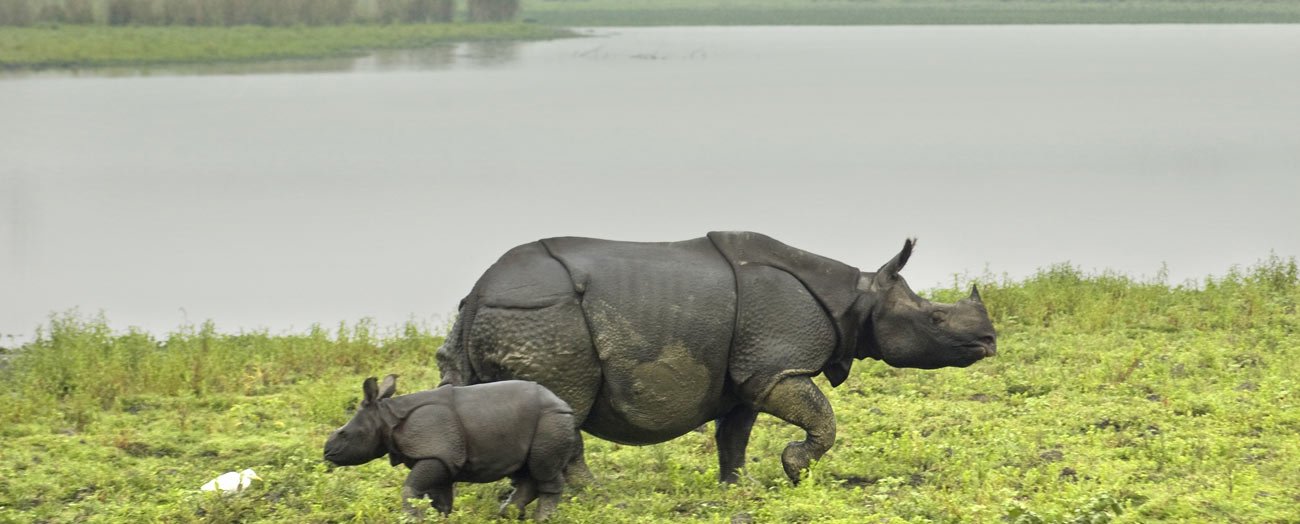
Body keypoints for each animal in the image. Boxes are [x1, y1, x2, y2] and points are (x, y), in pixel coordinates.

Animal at [323, 375, 577, 521]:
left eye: (344, 433)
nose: (326, 452)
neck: (386, 417)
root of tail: (562, 402)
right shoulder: (442, 457)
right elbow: (441, 497)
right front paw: (440, 518)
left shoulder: (435, 453)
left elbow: (410, 489)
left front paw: (411, 519)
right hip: (534, 422)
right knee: (526, 470)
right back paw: (508, 514)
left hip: (551, 419)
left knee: (543, 468)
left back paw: (542, 519)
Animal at [435, 231, 996, 484]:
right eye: (936, 319)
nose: (990, 341)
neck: (858, 297)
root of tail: (479, 294)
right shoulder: (776, 367)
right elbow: (823, 419)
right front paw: (795, 470)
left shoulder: (749, 373)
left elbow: (734, 435)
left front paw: (738, 487)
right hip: (545, 318)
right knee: (562, 410)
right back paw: (588, 495)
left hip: (504, 318)